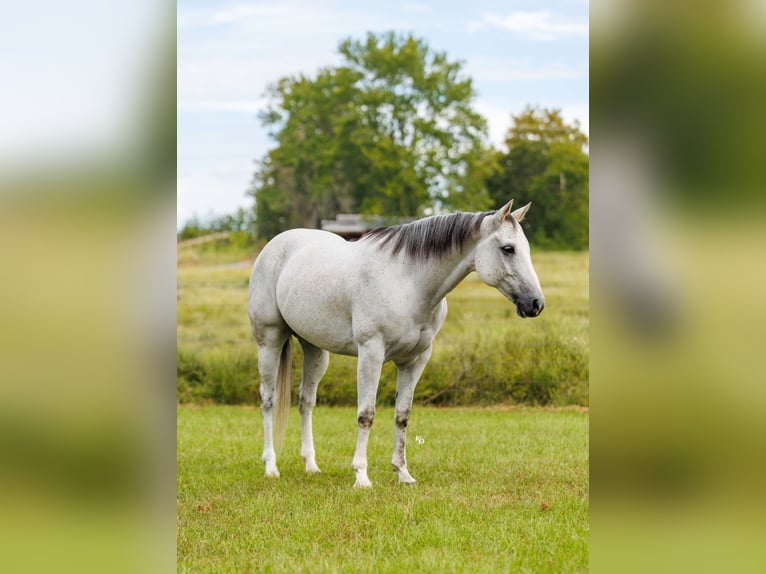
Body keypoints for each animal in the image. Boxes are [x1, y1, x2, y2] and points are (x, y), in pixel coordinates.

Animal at [248, 199, 544, 488]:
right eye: (508, 249)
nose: (535, 304)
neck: (408, 282)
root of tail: (274, 246)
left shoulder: (415, 360)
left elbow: (402, 415)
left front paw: (403, 473)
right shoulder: (371, 353)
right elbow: (366, 415)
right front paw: (361, 477)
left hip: (315, 349)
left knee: (306, 401)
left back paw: (311, 466)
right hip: (269, 342)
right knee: (268, 400)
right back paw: (271, 467)